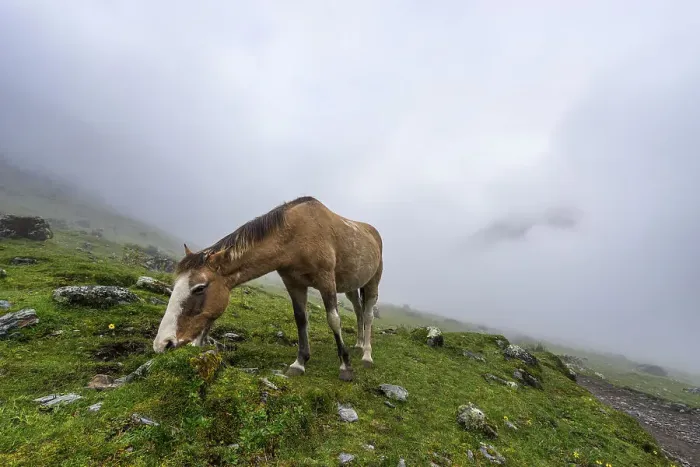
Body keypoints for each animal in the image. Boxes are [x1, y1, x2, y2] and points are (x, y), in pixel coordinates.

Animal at [152, 196, 384, 382]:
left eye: (199, 288)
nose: (162, 343)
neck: (297, 233)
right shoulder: (294, 283)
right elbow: (301, 319)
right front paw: (300, 363)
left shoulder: (326, 280)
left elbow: (333, 319)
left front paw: (345, 366)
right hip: (351, 287)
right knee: (358, 311)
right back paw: (359, 345)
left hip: (372, 282)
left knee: (368, 314)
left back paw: (367, 355)